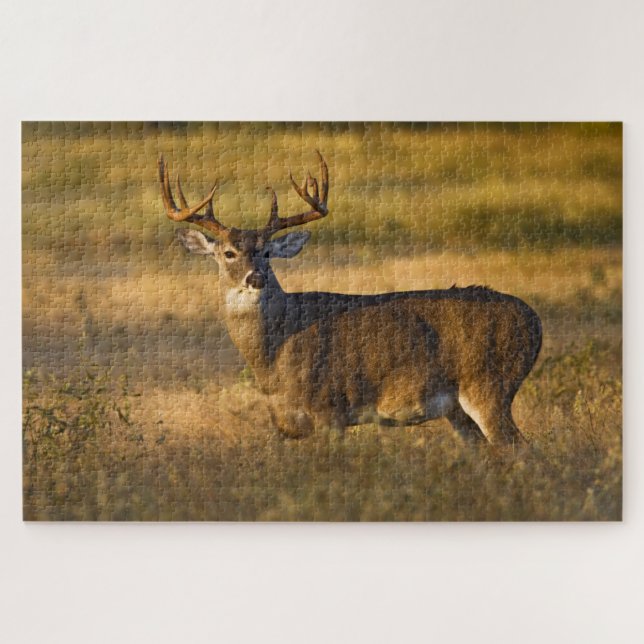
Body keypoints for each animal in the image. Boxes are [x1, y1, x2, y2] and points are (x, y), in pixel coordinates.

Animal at [159, 151, 542, 445]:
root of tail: (535, 322)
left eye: (267, 252)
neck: (277, 349)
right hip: (458, 411)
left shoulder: (330, 408)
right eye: (228, 253)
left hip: (490, 385)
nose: (256, 278)